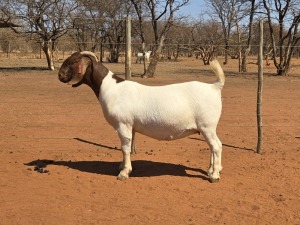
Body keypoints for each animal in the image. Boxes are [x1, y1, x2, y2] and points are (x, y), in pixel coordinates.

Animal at [57, 51, 224, 183]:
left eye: (73, 61)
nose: (60, 75)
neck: (111, 87)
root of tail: (215, 87)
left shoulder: (122, 124)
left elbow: (125, 147)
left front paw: (124, 173)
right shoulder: (131, 126)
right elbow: (128, 147)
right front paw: (122, 165)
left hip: (207, 126)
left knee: (216, 146)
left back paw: (214, 176)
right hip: (207, 128)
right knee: (212, 147)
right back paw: (210, 170)